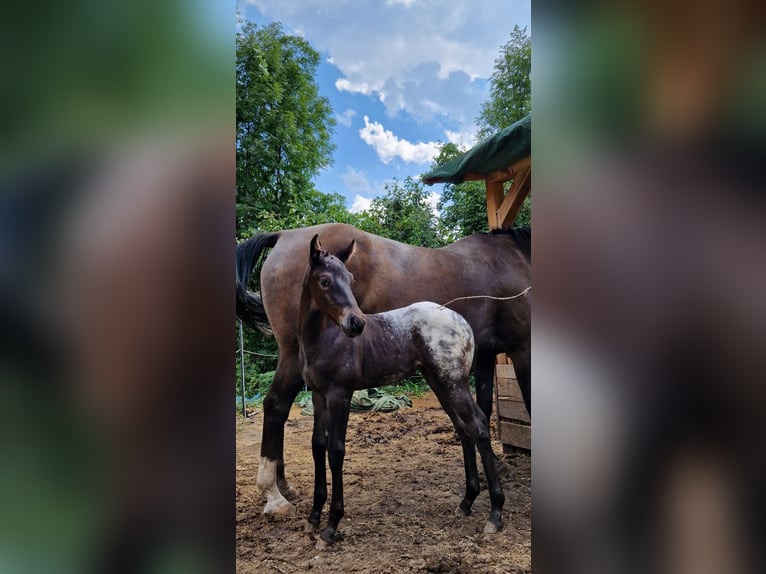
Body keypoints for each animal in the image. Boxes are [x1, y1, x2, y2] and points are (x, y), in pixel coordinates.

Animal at [237, 223, 532, 516]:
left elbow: (485, 407)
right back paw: (273, 494)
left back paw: (282, 485)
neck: (513, 257)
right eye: (325, 281)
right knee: (276, 406)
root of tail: (283, 235)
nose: (356, 322)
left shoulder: (485, 355)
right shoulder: (522, 348)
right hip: (292, 356)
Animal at [302, 236, 510, 552]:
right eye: (324, 281)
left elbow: (335, 451)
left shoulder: (340, 395)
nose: (356, 324)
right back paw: (466, 501)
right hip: (437, 381)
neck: (324, 339)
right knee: (463, 429)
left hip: (453, 382)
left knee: (478, 425)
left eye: (350, 279)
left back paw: (495, 513)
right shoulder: (318, 396)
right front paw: (315, 514)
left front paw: (331, 526)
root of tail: (462, 322)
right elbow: (317, 445)